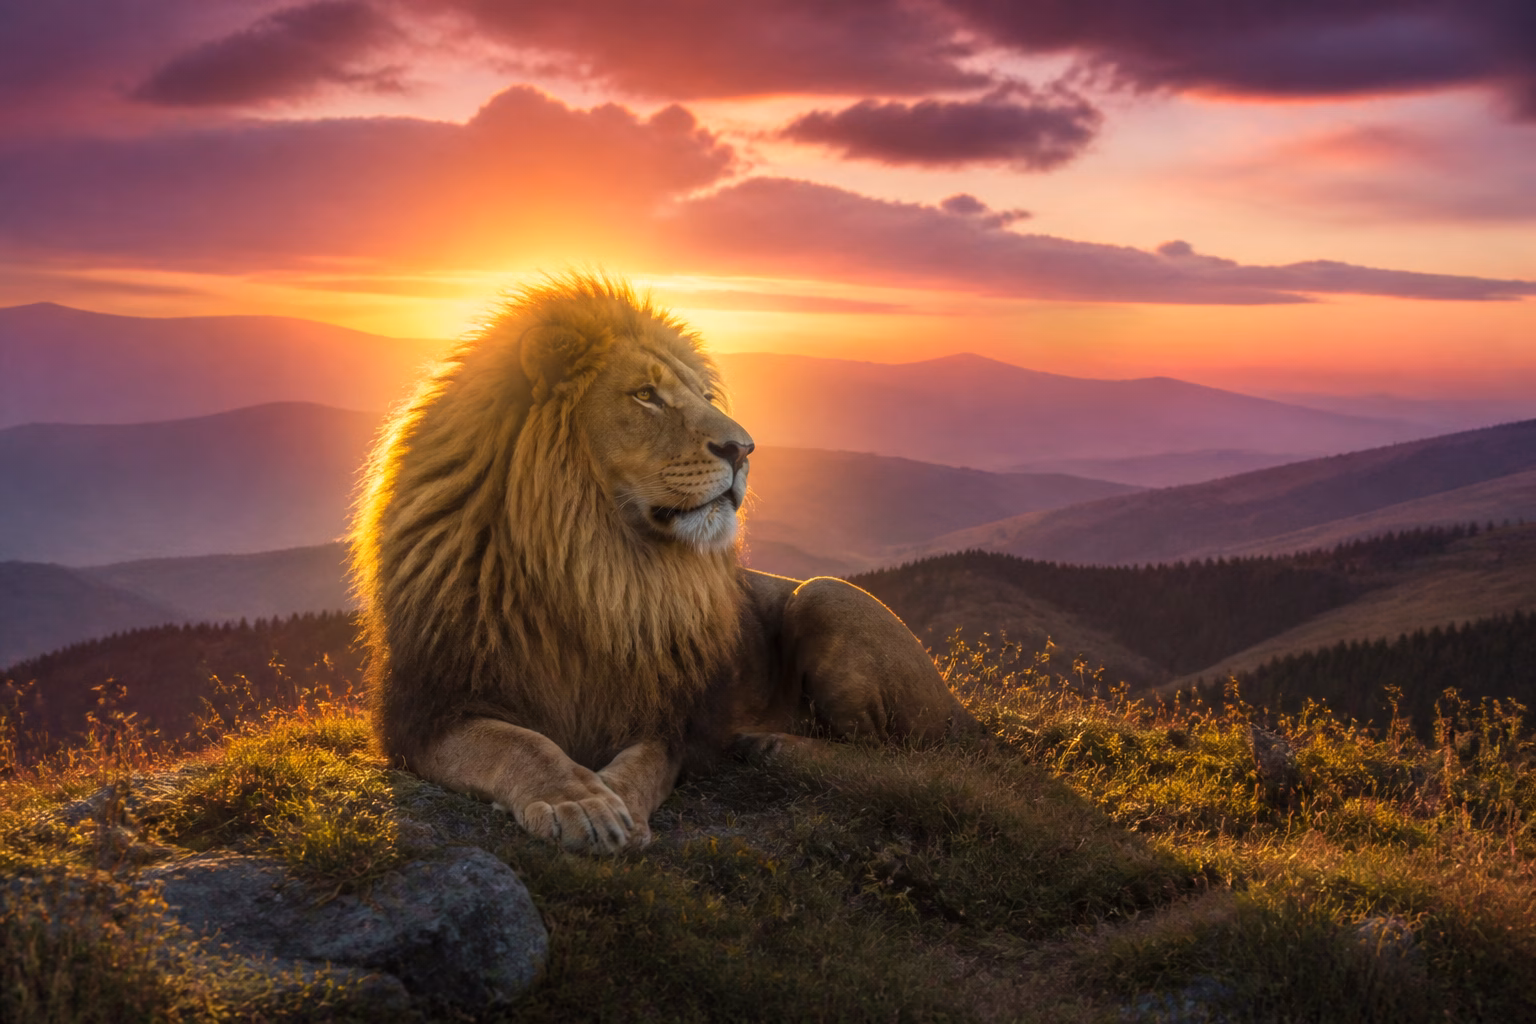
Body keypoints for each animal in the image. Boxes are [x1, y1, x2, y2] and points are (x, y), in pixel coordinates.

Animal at [351, 274, 980, 854]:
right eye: (645, 395)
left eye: (705, 396)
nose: (744, 449)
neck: (596, 567)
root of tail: (965, 713)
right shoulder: (425, 714)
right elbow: (518, 744)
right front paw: (580, 799)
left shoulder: (665, 719)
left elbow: (644, 767)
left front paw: (616, 807)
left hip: (826, 595)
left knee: (907, 760)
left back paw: (768, 745)